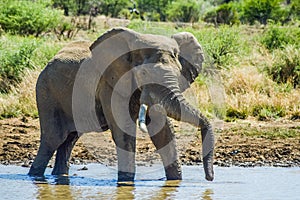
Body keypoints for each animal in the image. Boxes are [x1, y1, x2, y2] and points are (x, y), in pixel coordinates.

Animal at [28, 27, 214, 182]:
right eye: (143, 73)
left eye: (178, 74)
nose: (209, 177)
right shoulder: (110, 85)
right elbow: (124, 132)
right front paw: (126, 182)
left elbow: (163, 132)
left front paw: (175, 182)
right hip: (46, 92)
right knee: (53, 138)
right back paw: (35, 176)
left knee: (69, 139)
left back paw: (59, 176)